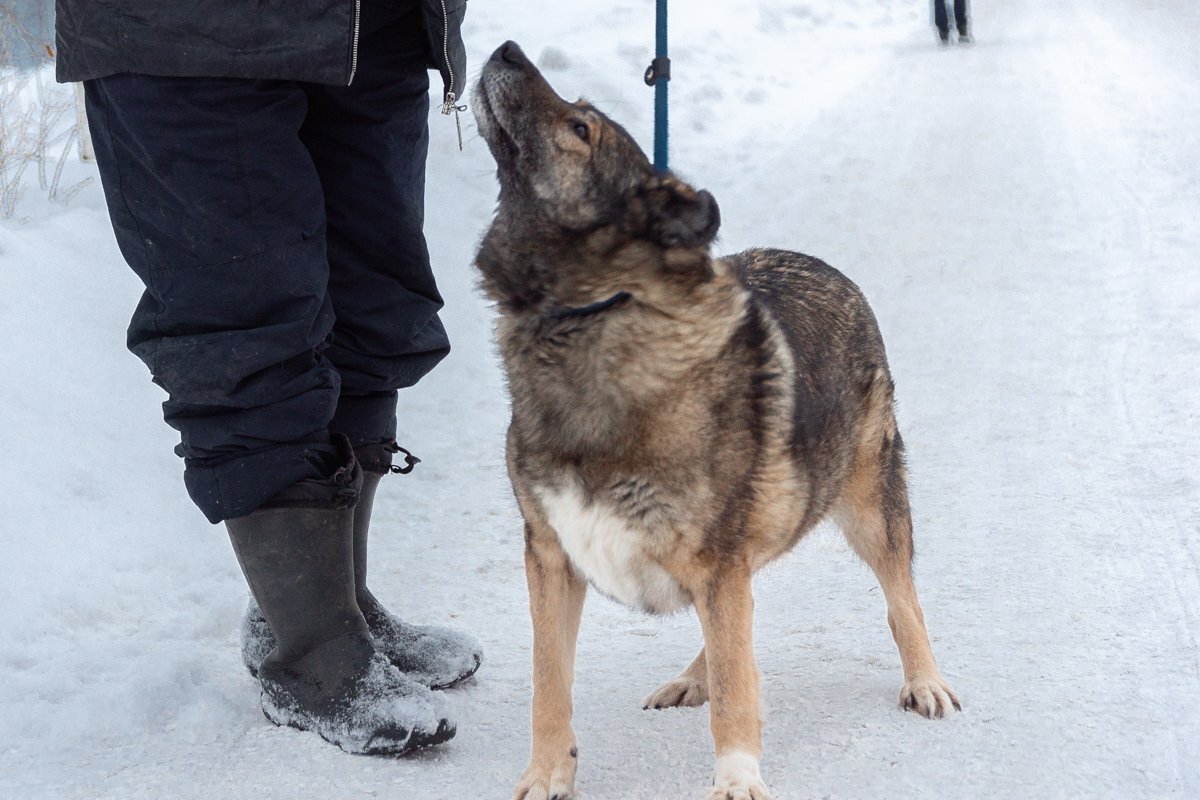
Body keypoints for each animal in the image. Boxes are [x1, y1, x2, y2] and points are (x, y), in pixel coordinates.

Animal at [472, 40, 960, 800]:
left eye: (582, 128)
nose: (505, 48)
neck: (591, 317)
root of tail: (829, 268)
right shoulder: (551, 557)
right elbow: (549, 685)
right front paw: (548, 773)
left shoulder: (715, 558)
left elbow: (738, 687)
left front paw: (736, 777)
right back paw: (691, 675)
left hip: (867, 503)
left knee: (898, 594)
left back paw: (924, 679)